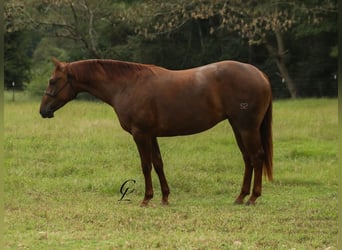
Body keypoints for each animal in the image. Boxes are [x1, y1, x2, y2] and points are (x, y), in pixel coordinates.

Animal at [39, 58, 272, 205]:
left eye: (52, 81)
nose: (43, 110)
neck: (127, 85)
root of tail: (259, 74)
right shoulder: (151, 135)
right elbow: (158, 164)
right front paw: (165, 197)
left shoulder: (140, 134)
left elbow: (146, 166)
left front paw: (146, 198)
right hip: (238, 127)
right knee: (248, 159)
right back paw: (241, 197)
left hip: (247, 127)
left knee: (257, 157)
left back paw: (253, 197)